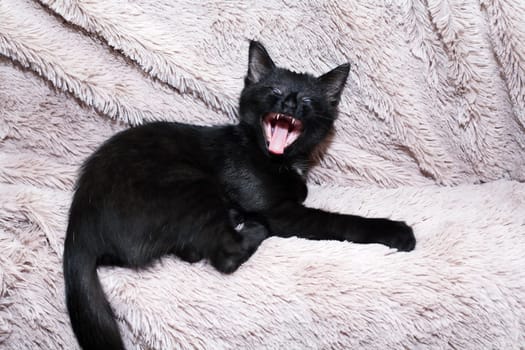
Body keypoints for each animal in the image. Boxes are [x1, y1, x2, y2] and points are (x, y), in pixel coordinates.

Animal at [63, 41, 414, 350]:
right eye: (273, 92)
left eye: (307, 101)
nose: (289, 103)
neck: (276, 159)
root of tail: (78, 227)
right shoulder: (281, 212)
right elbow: (340, 221)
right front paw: (396, 231)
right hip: (192, 183)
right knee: (225, 254)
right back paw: (252, 227)